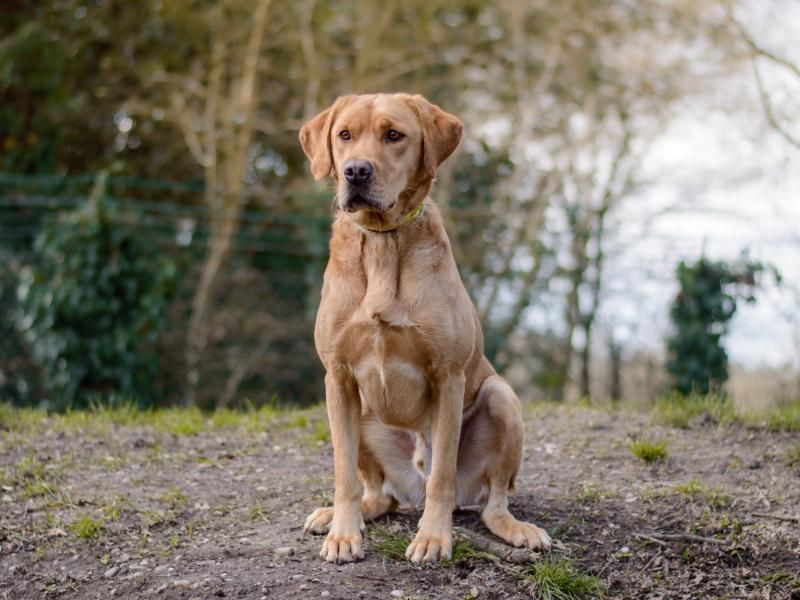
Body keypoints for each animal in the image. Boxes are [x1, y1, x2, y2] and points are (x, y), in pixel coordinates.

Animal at [298, 92, 552, 564]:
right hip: (363, 413)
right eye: (345, 135)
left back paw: (515, 529)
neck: (383, 240)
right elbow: (343, 473)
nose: (356, 171)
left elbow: (443, 475)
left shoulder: (448, 377)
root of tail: (409, 487)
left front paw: (434, 538)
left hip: (501, 398)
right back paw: (337, 515)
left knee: (489, 500)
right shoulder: (338, 377)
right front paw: (344, 534)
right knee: (377, 494)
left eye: (393, 135)